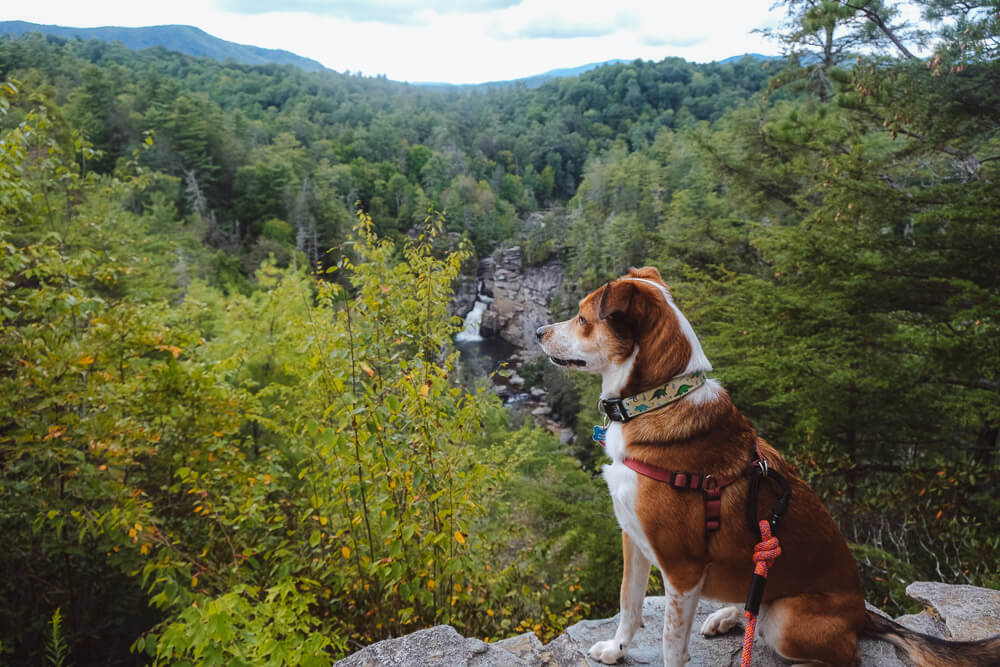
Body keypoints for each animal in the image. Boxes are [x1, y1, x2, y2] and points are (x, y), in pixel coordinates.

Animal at [540, 268, 1000, 667]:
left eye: (582, 318)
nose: (538, 332)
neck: (659, 400)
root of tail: (861, 612)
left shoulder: (682, 569)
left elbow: (671, 644)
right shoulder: (633, 538)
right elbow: (629, 603)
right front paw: (616, 649)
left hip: (788, 619)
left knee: (842, 655)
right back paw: (730, 615)